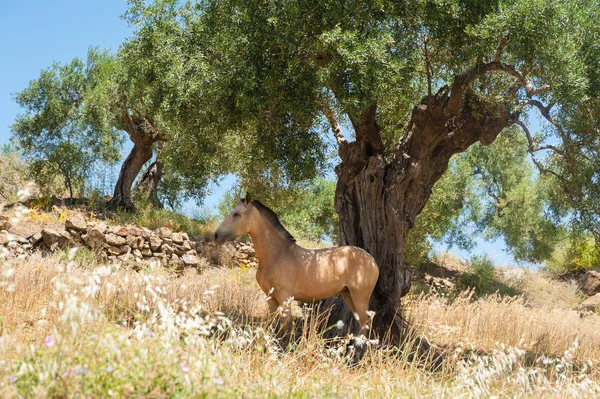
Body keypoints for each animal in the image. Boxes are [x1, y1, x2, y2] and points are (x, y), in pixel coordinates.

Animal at [213, 194, 378, 338]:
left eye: (236, 214)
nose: (216, 236)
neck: (276, 255)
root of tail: (372, 261)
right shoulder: (270, 298)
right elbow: (275, 326)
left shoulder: (285, 298)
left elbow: (287, 328)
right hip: (347, 294)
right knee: (364, 324)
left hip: (359, 296)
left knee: (366, 324)